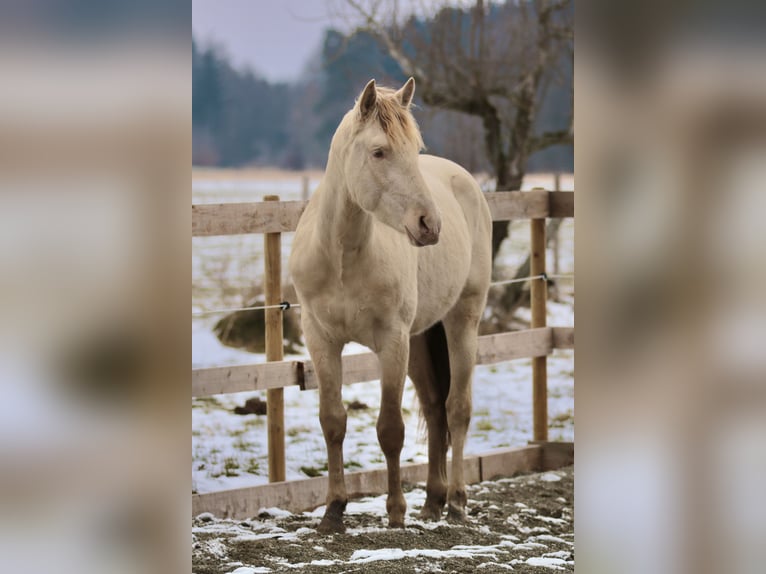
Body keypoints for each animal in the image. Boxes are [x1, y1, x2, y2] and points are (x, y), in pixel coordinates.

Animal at [288, 77, 492, 536]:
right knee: (434, 409)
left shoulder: (392, 341)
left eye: (414, 149)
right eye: (379, 152)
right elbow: (333, 421)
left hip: (462, 320)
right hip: (421, 338)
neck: (344, 256)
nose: (429, 225)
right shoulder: (321, 340)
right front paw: (333, 510)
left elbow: (390, 428)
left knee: (457, 409)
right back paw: (432, 502)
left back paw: (456, 502)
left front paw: (395, 513)